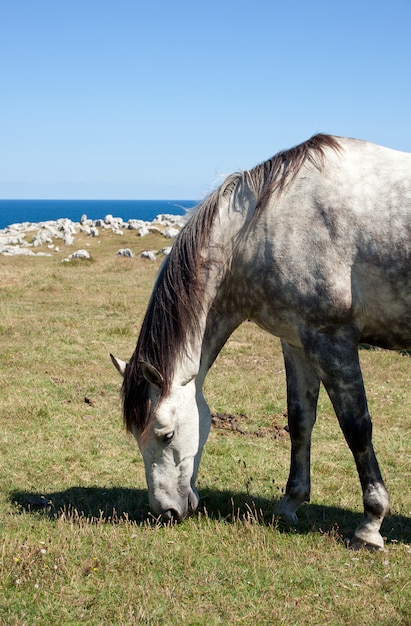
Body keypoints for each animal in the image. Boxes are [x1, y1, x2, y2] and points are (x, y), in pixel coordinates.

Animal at [111, 133, 410, 544]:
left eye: (166, 435)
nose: (165, 512)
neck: (266, 226)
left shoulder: (332, 341)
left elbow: (357, 427)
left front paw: (370, 523)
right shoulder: (297, 342)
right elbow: (299, 420)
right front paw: (290, 504)